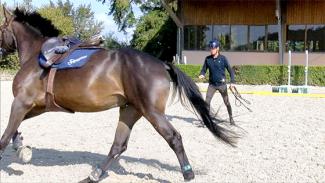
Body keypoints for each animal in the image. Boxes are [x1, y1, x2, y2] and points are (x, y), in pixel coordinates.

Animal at [0, 6, 235, 182]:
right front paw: (21, 147)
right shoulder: (37, 106)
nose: (1, 51)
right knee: (118, 145)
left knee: (173, 138)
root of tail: (161, 64)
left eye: (1, 28)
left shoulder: (21, 102)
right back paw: (94, 175)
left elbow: (4, 136)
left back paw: (188, 173)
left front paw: (18, 149)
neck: (37, 55)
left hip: (152, 112)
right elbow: (14, 130)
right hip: (130, 111)